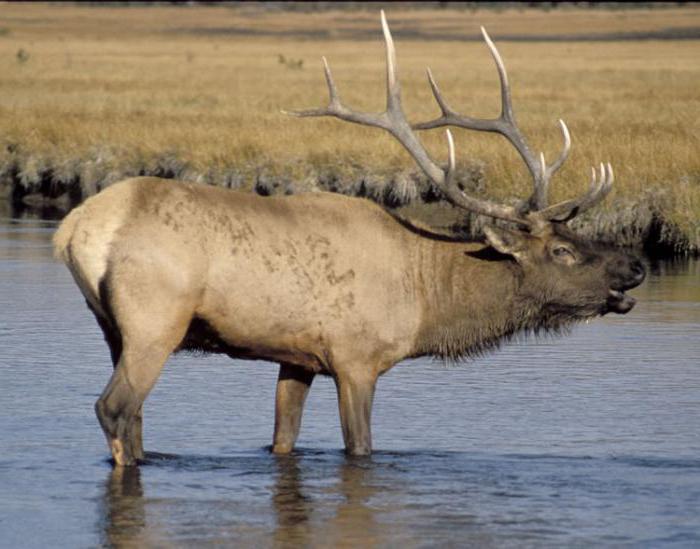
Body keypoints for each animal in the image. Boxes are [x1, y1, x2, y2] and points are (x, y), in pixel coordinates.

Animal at [54, 10, 644, 464]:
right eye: (562, 250)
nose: (636, 265)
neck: (425, 300)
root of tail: (74, 229)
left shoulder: (297, 357)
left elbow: (282, 440)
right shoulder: (357, 357)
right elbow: (360, 449)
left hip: (111, 327)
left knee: (135, 417)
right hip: (156, 319)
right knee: (115, 408)